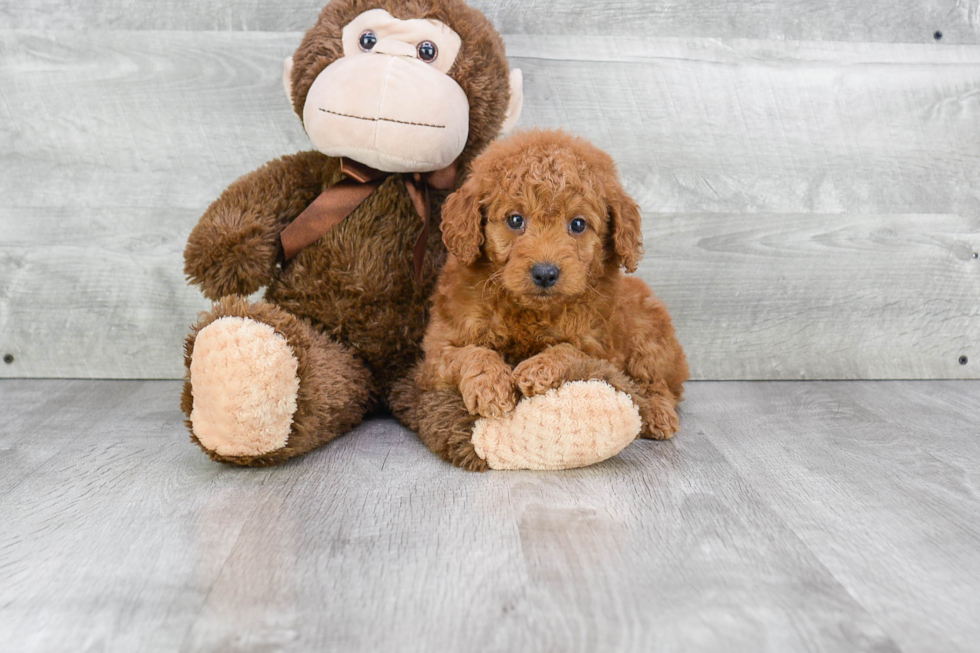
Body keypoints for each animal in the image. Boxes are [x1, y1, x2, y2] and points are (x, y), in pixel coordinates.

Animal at [416, 129, 688, 464]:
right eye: (515, 220)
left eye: (578, 224)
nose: (545, 273)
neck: (530, 311)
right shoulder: (436, 353)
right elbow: (469, 353)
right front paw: (490, 385)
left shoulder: (601, 350)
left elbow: (569, 351)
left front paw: (538, 368)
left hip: (648, 332)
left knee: (659, 384)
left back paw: (658, 414)